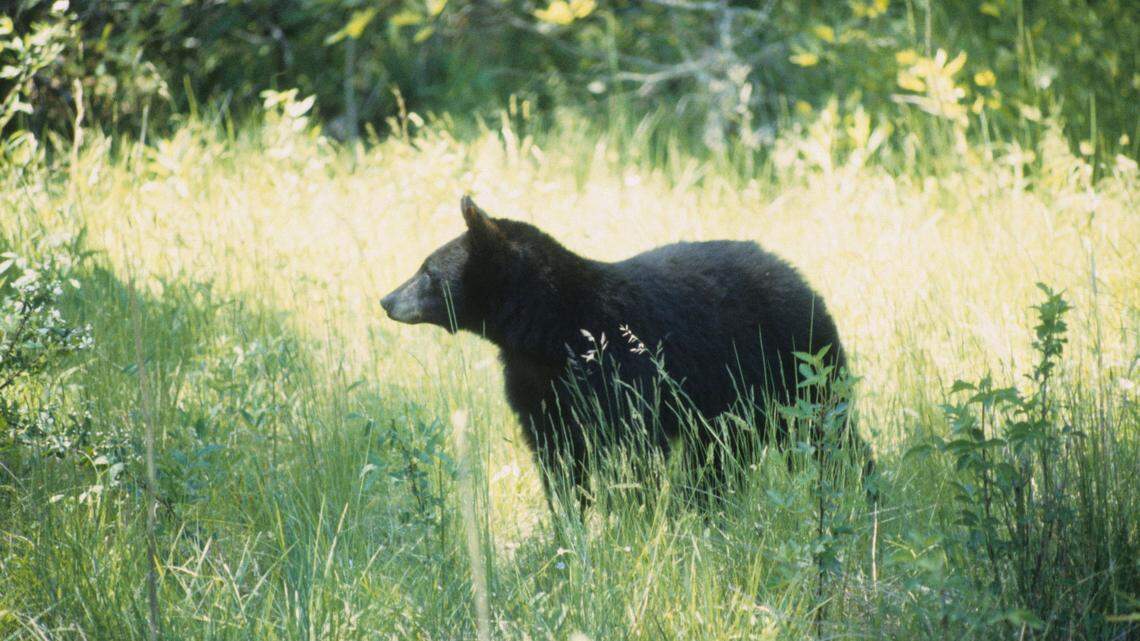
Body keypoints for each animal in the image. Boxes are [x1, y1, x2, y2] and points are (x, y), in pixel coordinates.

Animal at [381, 196, 870, 512]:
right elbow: (558, 459)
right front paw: (568, 528)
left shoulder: (624, 372)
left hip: (796, 363)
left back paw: (859, 489)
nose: (386, 300)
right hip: (727, 402)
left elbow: (634, 453)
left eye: (427, 271)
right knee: (720, 458)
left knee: (829, 429)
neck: (551, 331)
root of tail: (796, 274)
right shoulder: (538, 388)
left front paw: (635, 517)